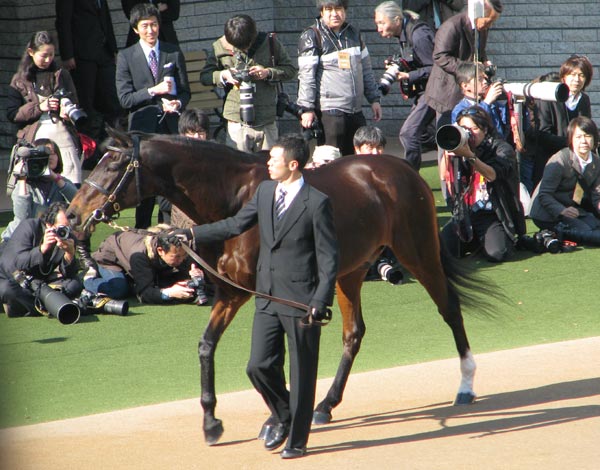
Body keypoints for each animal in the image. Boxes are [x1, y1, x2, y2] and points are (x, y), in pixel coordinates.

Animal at [67, 127, 488, 444]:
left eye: (114, 164)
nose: (71, 215)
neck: (235, 197)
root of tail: (402, 169)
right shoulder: (230, 292)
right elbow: (208, 346)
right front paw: (212, 422)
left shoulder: (259, 295)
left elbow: (272, 357)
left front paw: (276, 419)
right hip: (348, 271)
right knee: (353, 332)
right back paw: (325, 405)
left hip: (418, 253)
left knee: (449, 309)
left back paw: (466, 385)